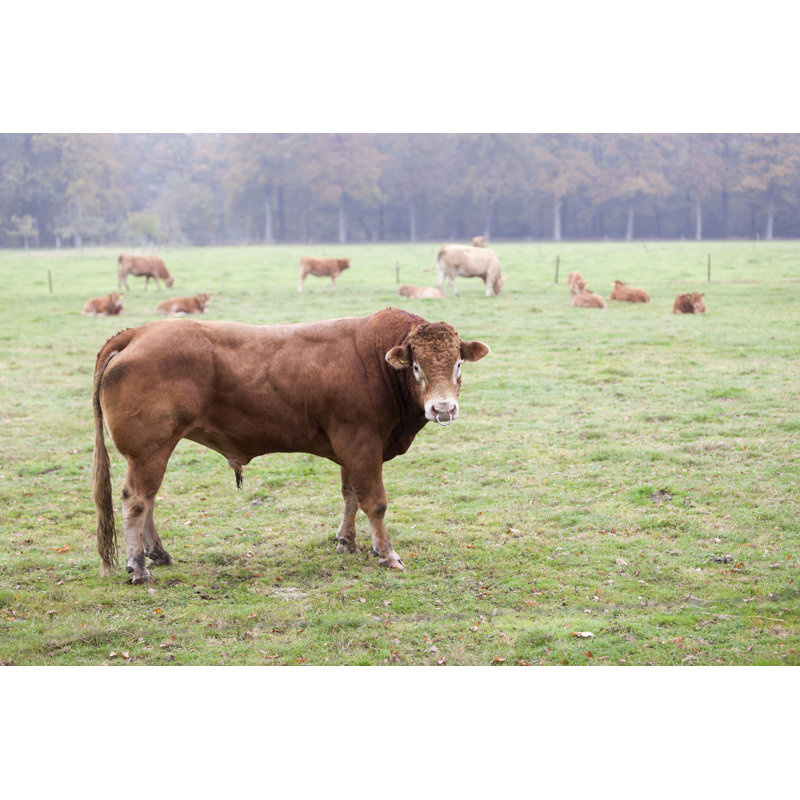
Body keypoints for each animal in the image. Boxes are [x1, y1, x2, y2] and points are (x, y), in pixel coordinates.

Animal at [91, 308, 490, 584]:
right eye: (417, 367)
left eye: (457, 364)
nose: (443, 408)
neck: (374, 361)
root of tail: (138, 333)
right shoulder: (361, 446)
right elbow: (374, 503)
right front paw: (387, 554)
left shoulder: (351, 450)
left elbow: (350, 496)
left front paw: (348, 541)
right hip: (149, 450)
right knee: (137, 500)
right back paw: (138, 567)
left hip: (152, 452)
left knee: (148, 500)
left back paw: (158, 553)